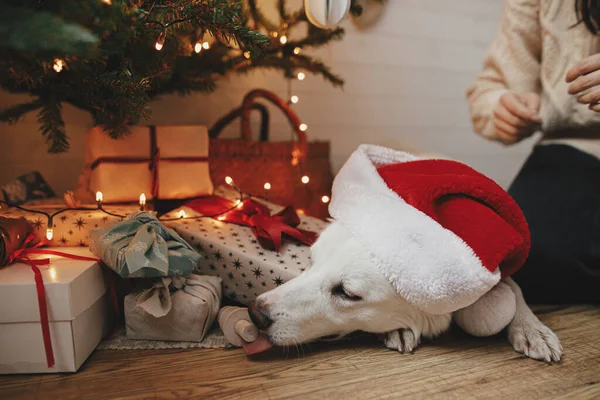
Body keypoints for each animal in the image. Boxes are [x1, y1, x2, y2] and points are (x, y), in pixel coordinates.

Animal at [250, 222, 564, 362]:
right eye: (311, 262)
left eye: (347, 293)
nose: (255, 314)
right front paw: (399, 330)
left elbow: (515, 290)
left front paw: (532, 329)